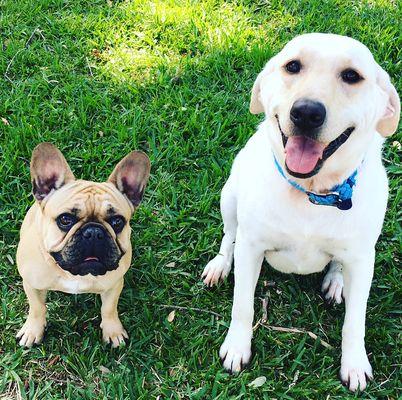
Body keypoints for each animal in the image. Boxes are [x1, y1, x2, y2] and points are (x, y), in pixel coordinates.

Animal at [15, 143, 151, 346]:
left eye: (117, 222)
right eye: (65, 219)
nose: (93, 232)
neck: (74, 274)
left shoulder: (114, 284)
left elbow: (109, 309)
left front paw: (113, 331)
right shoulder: (32, 285)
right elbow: (37, 308)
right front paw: (33, 330)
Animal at [203, 33, 400, 390]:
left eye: (352, 76)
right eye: (292, 66)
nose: (306, 112)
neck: (311, 193)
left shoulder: (363, 260)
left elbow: (355, 322)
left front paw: (354, 363)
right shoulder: (251, 248)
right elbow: (242, 304)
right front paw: (237, 346)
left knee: (339, 264)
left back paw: (336, 280)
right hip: (229, 196)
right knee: (228, 235)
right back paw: (219, 265)